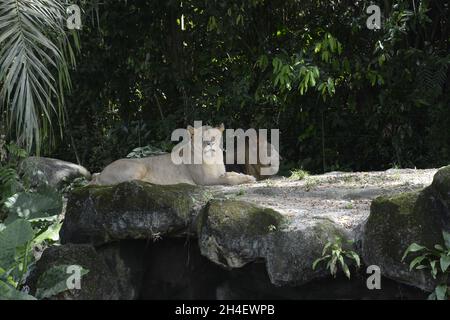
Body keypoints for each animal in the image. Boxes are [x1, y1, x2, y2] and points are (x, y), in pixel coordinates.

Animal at [90, 124, 256, 186]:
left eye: (213, 137)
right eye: (202, 139)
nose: (209, 143)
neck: (212, 159)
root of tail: (101, 173)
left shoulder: (219, 173)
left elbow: (232, 173)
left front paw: (247, 176)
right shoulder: (205, 180)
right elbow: (229, 179)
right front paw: (246, 179)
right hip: (139, 166)